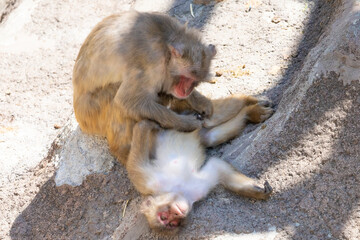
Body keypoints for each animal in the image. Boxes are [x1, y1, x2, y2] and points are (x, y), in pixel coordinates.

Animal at [71, 11, 215, 165]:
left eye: (194, 81)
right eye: (185, 78)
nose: (186, 91)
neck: (166, 49)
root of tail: (80, 119)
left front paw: (199, 101)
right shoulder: (151, 65)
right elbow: (126, 101)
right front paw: (186, 123)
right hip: (92, 114)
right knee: (115, 97)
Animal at [126, 94, 272, 232]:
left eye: (164, 216)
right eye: (170, 223)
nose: (177, 214)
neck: (180, 189)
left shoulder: (151, 182)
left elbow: (136, 166)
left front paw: (146, 124)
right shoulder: (198, 189)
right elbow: (218, 167)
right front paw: (257, 191)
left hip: (186, 116)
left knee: (214, 116)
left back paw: (250, 102)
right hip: (198, 130)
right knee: (211, 137)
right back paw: (249, 114)